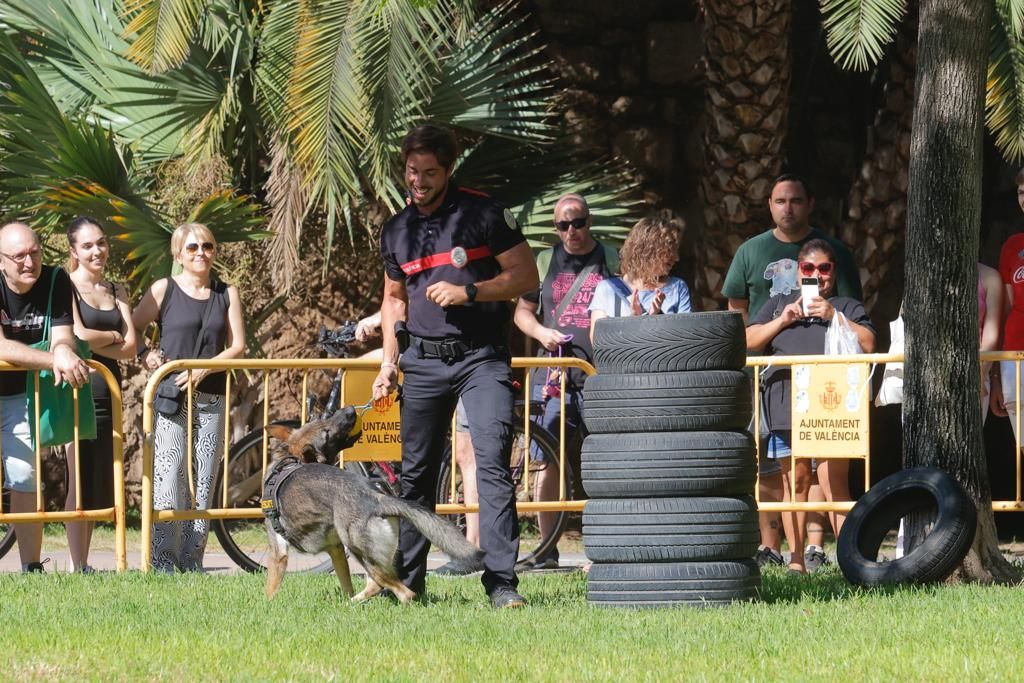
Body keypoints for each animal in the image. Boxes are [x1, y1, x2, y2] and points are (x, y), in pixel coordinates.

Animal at [264, 405, 487, 602]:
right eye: (323, 426)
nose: (349, 410)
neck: (290, 460)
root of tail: (376, 498)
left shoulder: (278, 554)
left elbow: (271, 589)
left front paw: (269, 605)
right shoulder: (336, 550)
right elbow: (346, 582)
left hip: (357, 548)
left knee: (397, 589)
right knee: (376, 584)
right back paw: (350, 602)